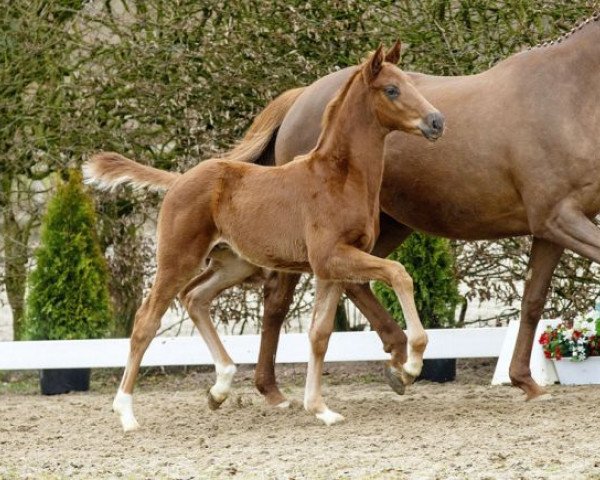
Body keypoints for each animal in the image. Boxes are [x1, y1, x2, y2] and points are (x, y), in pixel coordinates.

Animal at [84, 46, 442, 432]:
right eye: (392, 89)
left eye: (410, 83)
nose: (437, 121)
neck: (340, 178)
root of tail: (179, 180)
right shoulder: (332, 257)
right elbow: (399, 273)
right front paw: (411, 364)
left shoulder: (331, 268)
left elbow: (320, 334)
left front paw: (320, 409)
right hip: (177, 258)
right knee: (146, 321)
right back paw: (126, 413)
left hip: (233, 263)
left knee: (195, 297)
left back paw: (220, 387)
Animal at [191, 14, 600, 404]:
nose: (436, 122)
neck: (569, 93)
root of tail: (300, 98)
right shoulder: (559, 218)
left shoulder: (551, 226)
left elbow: (532, 301)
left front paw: (525, 381)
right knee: (280, 297)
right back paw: (278, 389)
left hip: (382, 226)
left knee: (353, 282)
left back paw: (395, 358)